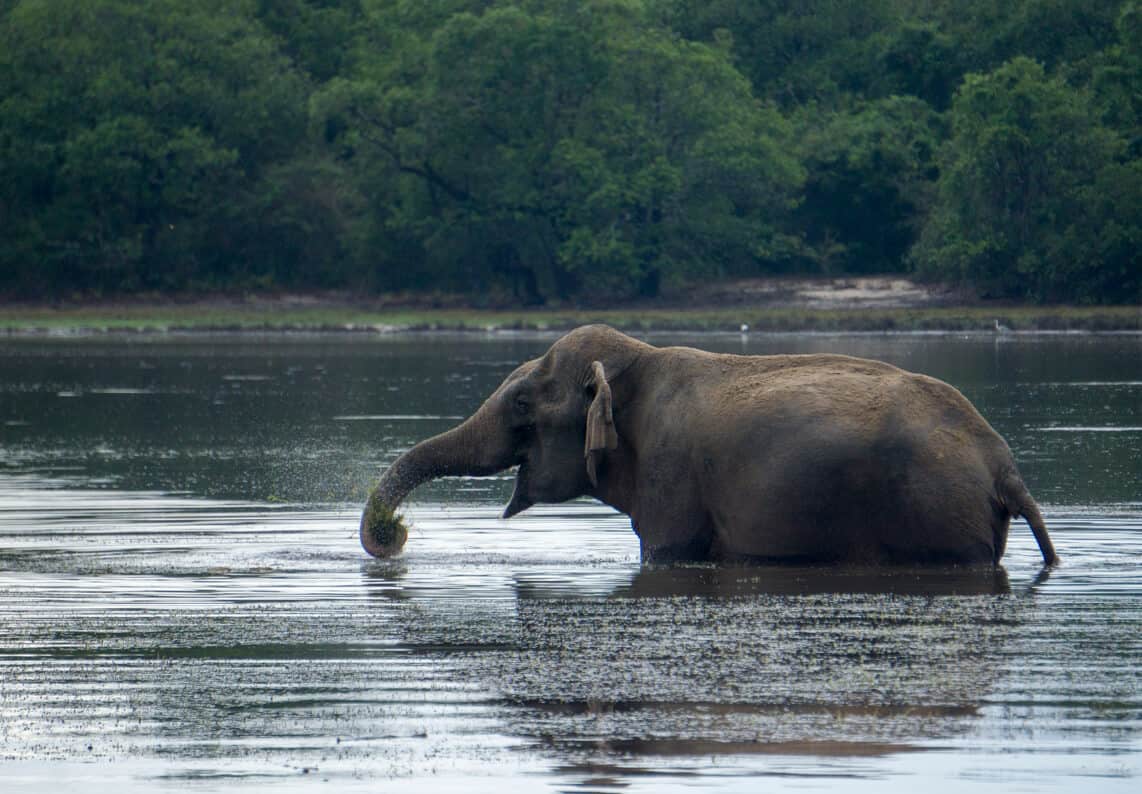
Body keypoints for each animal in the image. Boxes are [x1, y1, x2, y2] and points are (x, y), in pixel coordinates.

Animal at [360, 326, 1055, 568]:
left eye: (524, 403)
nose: (396, 534)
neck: (636, 359)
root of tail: (1004, 467)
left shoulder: (670, 472)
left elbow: (667, 554)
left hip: (936, 512)